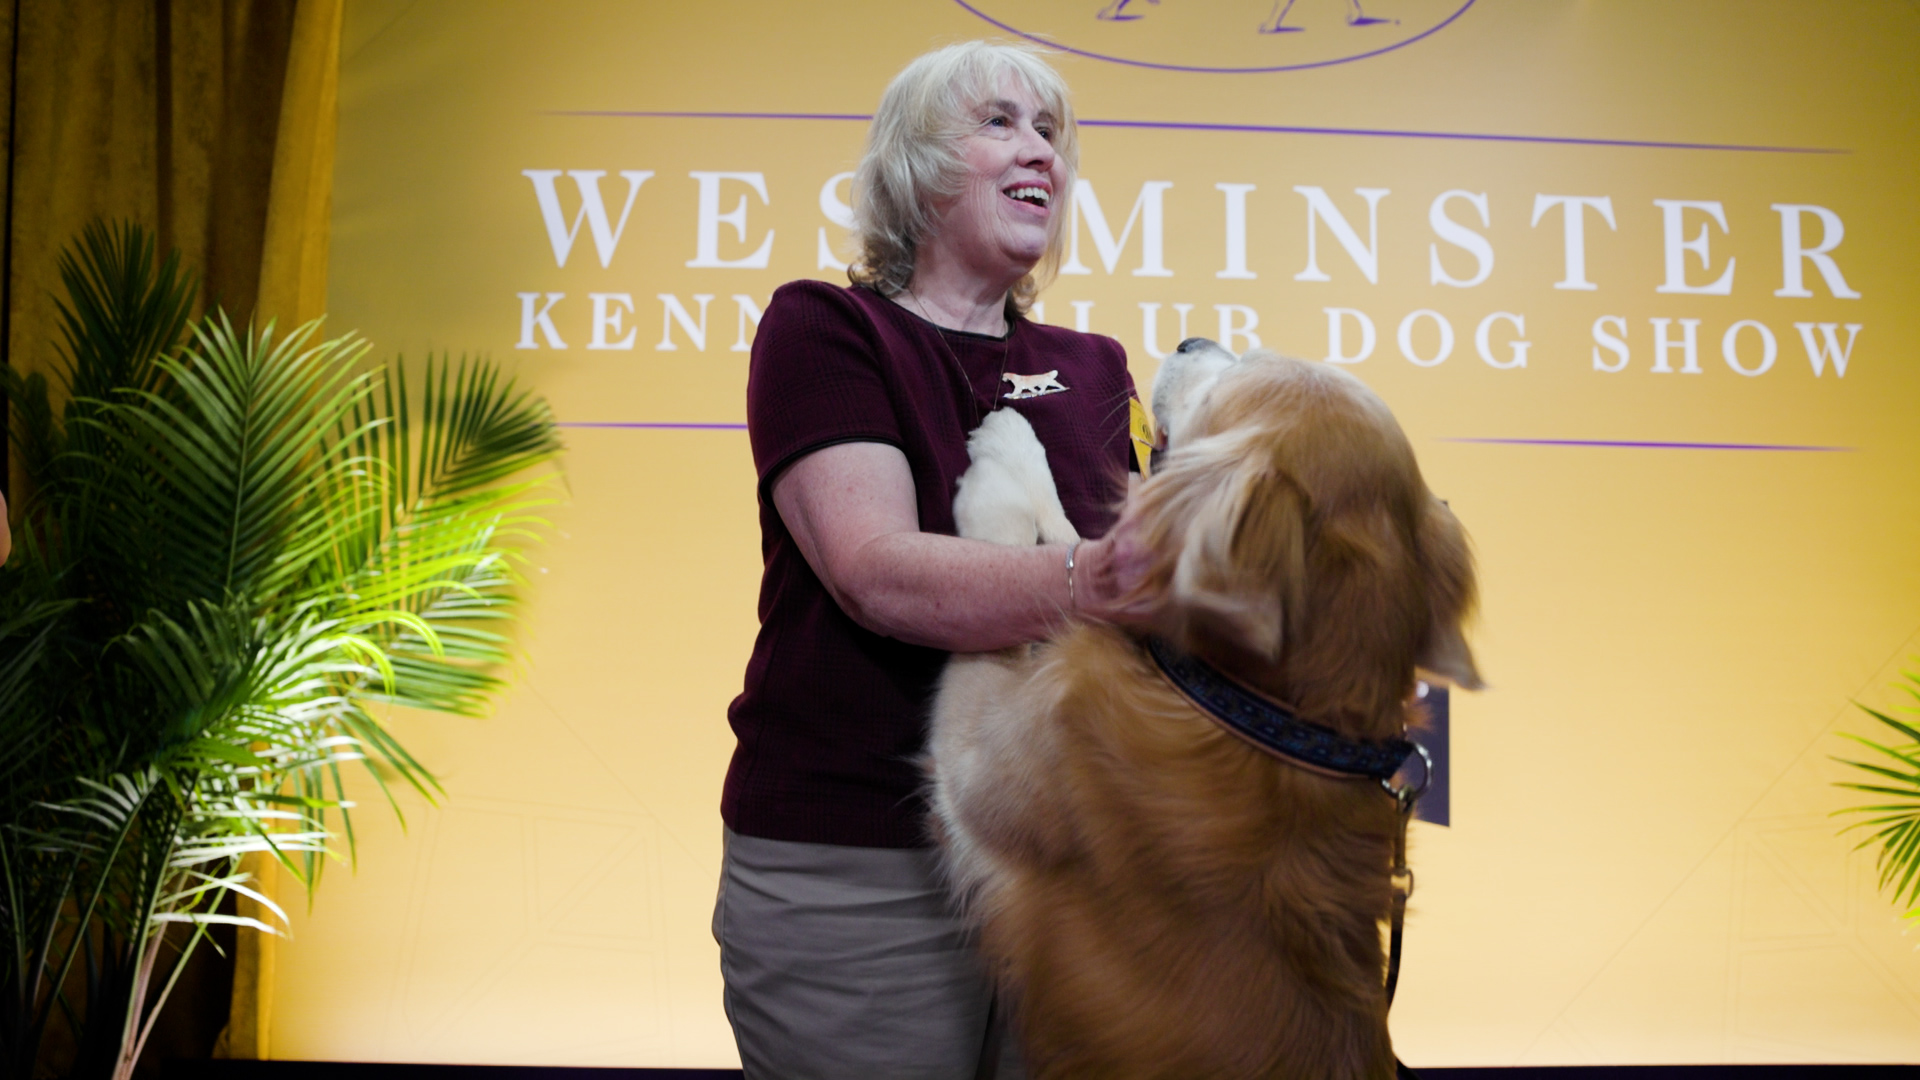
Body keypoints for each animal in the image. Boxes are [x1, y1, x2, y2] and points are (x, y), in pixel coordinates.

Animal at [929, 338, 1482, 1076]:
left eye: (1236, 371)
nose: (1193, 340)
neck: (1267, 714)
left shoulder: (983, 763)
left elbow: (1020, 543)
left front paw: (1007, 453)